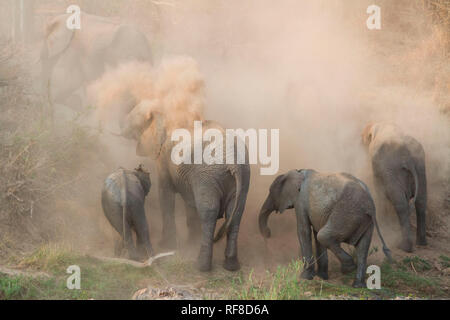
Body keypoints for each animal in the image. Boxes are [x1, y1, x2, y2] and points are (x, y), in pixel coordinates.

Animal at [119, 101, 250, 272]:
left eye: (135, 118)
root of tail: (232, 161)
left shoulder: (164, 156)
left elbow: (165, 194)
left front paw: (167, 246)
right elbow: (190, 203)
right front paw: (189, 243)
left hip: (208, 176)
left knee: (208, 212)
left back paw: (201, 266)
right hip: (242, 176)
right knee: (236, 213)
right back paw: (231, 266)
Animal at [258, 170, 392, 288]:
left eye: (270, 192)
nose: (268, 233)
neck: (297, 172)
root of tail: (369, 203)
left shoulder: (300, 201)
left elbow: (304, 231)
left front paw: (305, 277)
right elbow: (315, 233)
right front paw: (322, 277)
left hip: (346, 213)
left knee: (324, 236)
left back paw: (348, 269)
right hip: (365, 220)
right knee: (362, 249)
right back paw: (358, 285)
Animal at [360, 122, 428, 252]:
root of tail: (408, 156)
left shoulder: (378, 165)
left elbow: (379, 189)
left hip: (393, 171)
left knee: (400, 204)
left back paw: (404, 247)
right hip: (420, 167)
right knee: (421, 202)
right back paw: (421, 244)